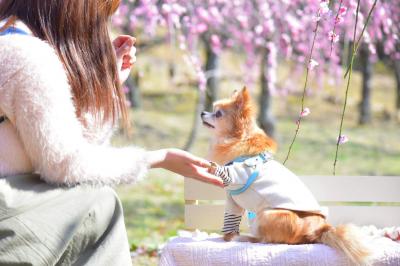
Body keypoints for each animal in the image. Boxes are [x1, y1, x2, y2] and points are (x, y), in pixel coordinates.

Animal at [202, 87, 370, 264]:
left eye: (218, 114)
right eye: (213, 110)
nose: (202, 112)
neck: (238, 140)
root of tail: (319, 230)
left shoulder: (234, 191)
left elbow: (229, 222)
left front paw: (228, 238)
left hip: (265, 215)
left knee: (265, 240)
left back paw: (244, 238)